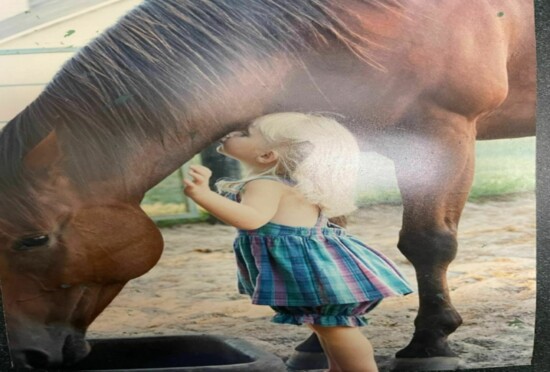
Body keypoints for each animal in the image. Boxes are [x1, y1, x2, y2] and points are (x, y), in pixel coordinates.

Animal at [0, 0, 536, 370]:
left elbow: (428, 244)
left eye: (33, 239)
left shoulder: (443, 134)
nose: (24, 356)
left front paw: (429, 343)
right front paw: (316, 338)